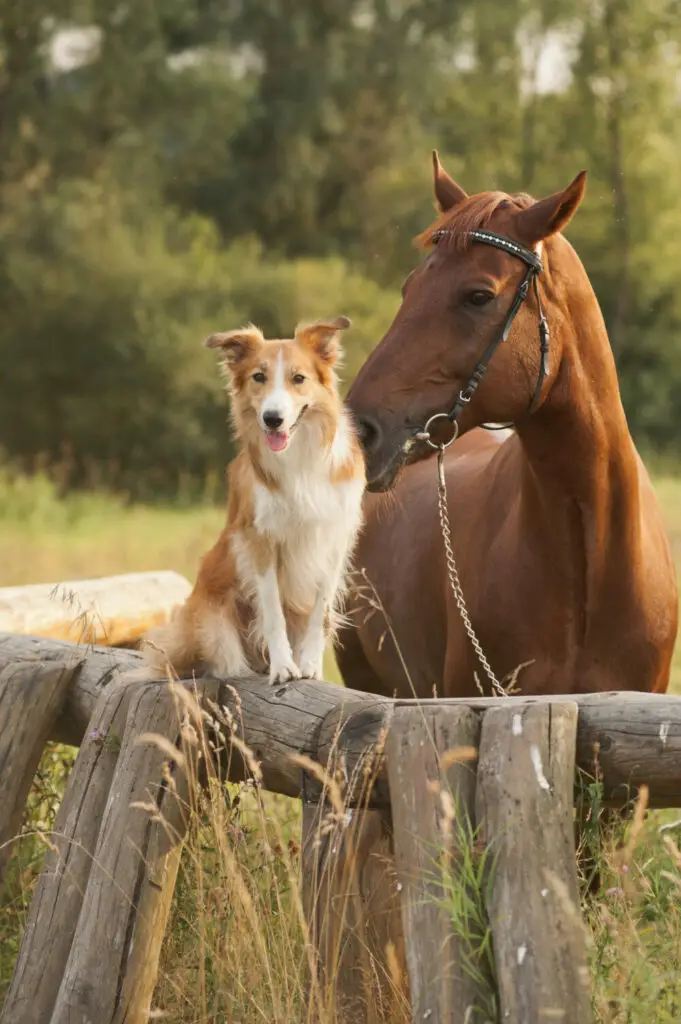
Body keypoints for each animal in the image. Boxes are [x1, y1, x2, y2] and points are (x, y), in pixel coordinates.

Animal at [139, 315, 366, 684]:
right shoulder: (258, 539)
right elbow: (272, 612)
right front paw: (283, 667)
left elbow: (320, 612)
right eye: (259, 377)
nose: (272, 418)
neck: (299, 457)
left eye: (298, 378)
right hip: (215, 627)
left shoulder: (334, 538)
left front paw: (310, 666)